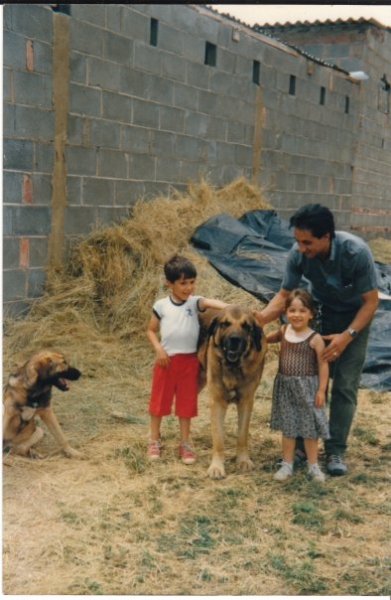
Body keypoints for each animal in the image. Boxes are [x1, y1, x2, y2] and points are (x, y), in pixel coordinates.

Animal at [198, 304, 268, 478]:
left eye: (246, 326)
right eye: (225, 324)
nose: (235, 339)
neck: (233, 367)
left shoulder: (246, 402)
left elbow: (242, 435)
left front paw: (243, 461)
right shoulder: (217, 402)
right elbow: (218, 439)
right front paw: (216, 467)